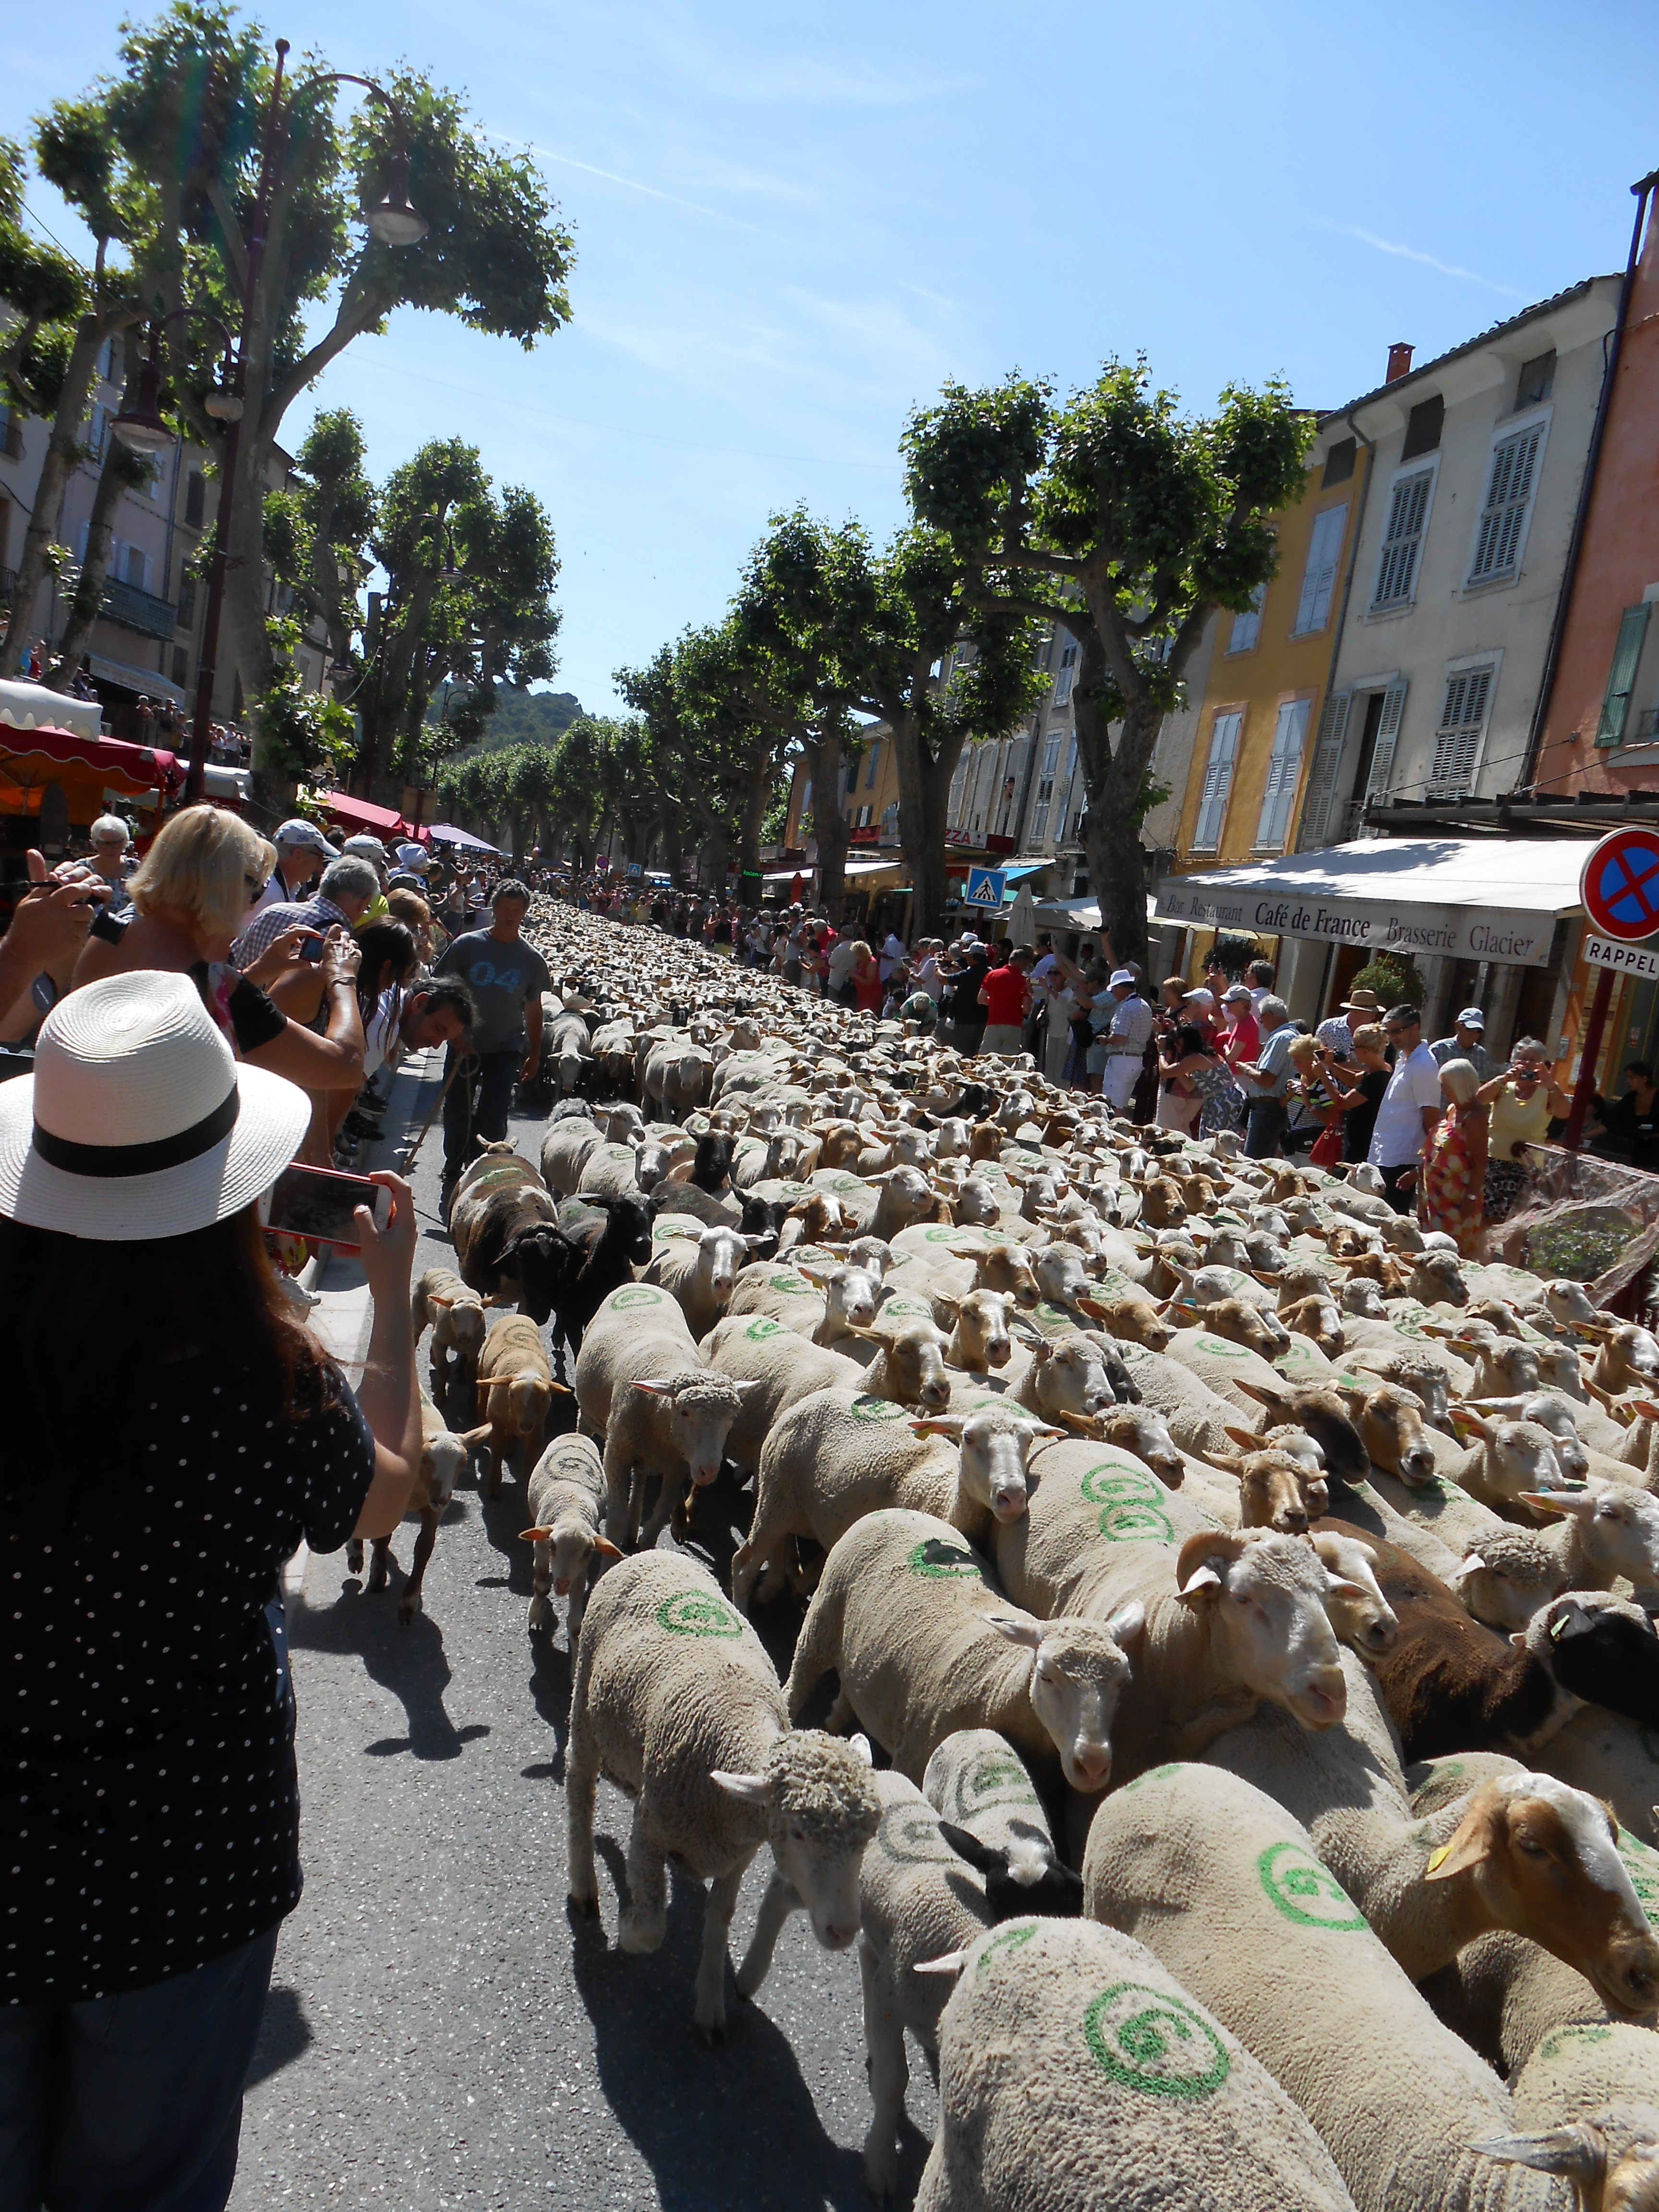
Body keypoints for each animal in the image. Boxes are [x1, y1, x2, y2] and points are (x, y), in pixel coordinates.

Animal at [473, 1309, 566, 1504]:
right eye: (512, 1395)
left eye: (544, 1398)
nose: (526, 1425)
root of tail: (518, 1315)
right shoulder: (497, 1423)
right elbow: (497, 1451)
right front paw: (493, 1486)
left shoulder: (537, 1430)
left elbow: (530, 1462)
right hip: (483, 1374)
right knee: (481, 1397)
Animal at [519, 1433, 624, 1646]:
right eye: (552, 1545)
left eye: (588, 1552)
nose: (562, 1585)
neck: (572, 1509)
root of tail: (577, 1434)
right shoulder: (541, 1550)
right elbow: (541, 1586)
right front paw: (536, 1615)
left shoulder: (580, 1572)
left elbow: (576, 1625)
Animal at [566, 1539, 885, 2035]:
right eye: (797, 1833)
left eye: (870, 1836)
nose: (845, 1932)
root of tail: (652, 1554)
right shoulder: (650, 1831)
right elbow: (652, 1929)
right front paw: (627, 1927)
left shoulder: (737, 1855)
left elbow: (719, 1920)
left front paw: (711, 2003)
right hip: (584, 1699)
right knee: (579, 1784)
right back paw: (584, 1883)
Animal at [787, 1504, 1141, 1796]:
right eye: (1045, 1675)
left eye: (1123, 1682)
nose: (1093, 1765)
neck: (1000, 1689)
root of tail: (900, 1511)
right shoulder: (912, 1758)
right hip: (823, 1617)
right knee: (796, 1683)